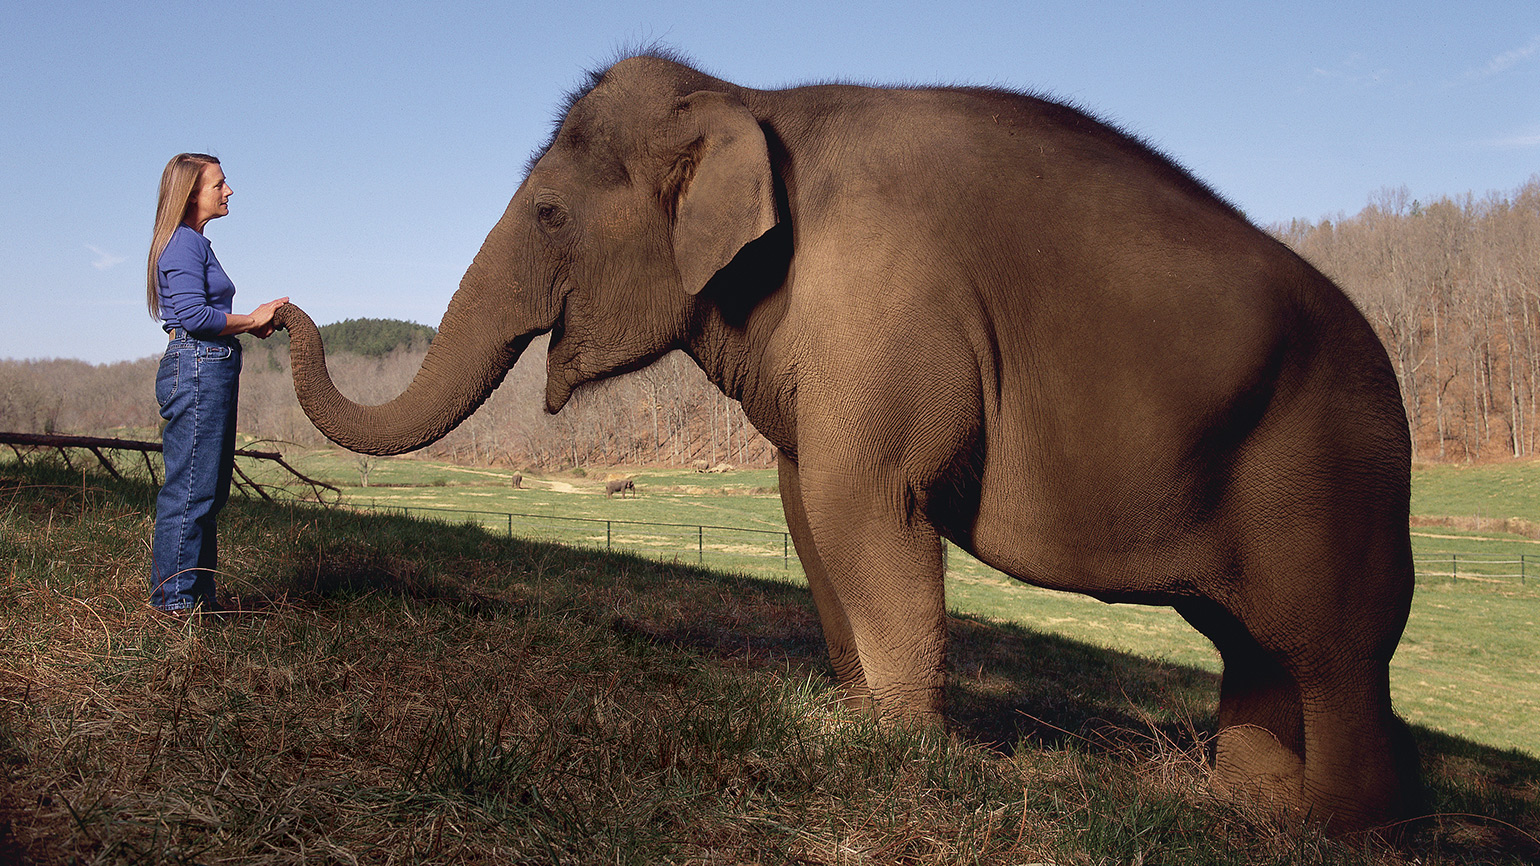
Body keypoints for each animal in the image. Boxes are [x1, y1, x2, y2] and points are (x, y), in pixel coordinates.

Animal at [275, 52, 1420, 835]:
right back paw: (1252, 809)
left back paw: (1334, 828)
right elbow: (805, 501)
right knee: (1253, 641)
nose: (277, 308)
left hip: (1330, 474)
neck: (747, 95)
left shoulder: (886, 316)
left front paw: (902, 745)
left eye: (550, 211)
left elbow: (861, 498)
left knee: (1330, 647)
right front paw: (849, 718)